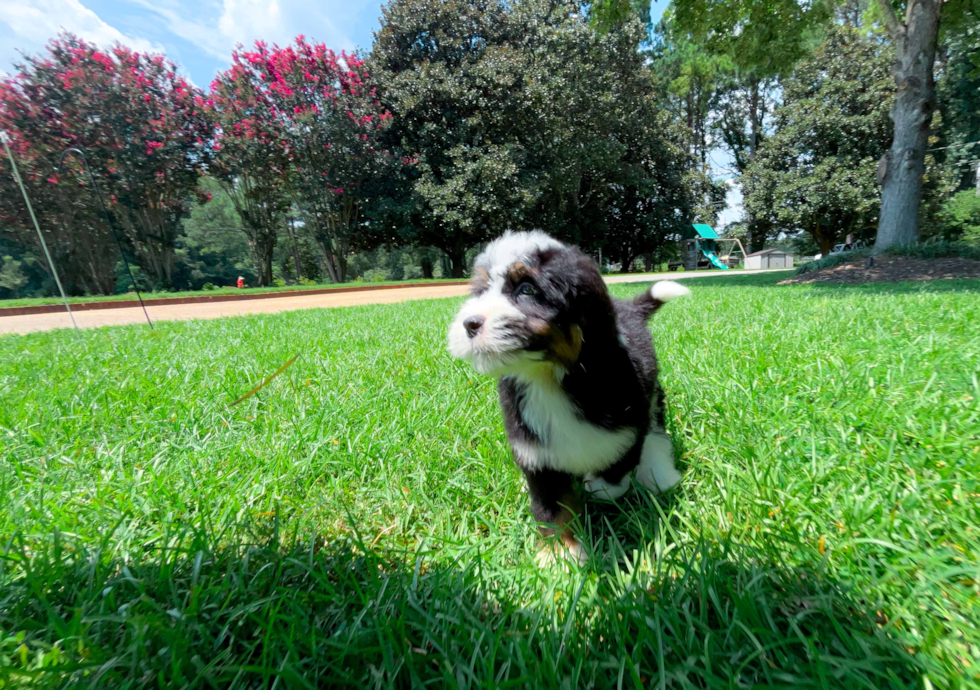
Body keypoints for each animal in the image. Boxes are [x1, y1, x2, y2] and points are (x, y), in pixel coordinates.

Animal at [446, 231, 688, 564]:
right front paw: (560, 555)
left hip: (651, 399)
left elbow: (616, 469)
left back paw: (659, 474)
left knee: (656, 432)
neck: (549, 379)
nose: (469, 324)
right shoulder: (535, 451)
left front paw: (597, 486)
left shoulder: (629, 425)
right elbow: (552, 506)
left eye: (527, 289)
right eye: (482, 291)